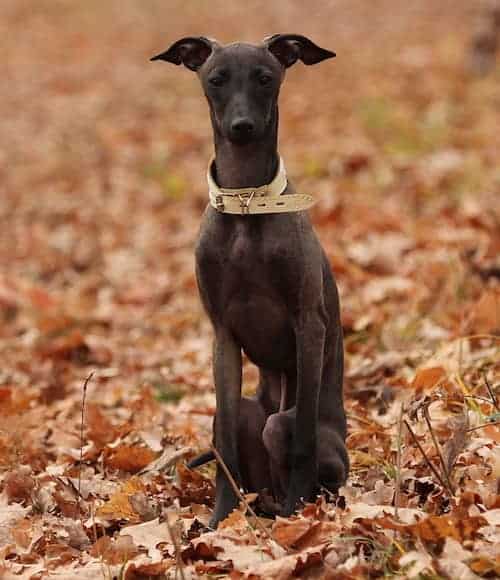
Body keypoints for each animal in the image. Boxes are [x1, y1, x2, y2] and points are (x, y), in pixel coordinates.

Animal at [152, 34, 348, 528]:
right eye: (216, 79)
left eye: (265, 78)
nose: (242, 127)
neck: (245, 207)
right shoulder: (222, 335)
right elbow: (224, 445)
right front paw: (220, 520)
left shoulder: (308, 325)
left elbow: (302, 438)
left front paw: (300, 517)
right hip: (246, 414)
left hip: (294, 434)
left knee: (290, 438)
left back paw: (296, 507)